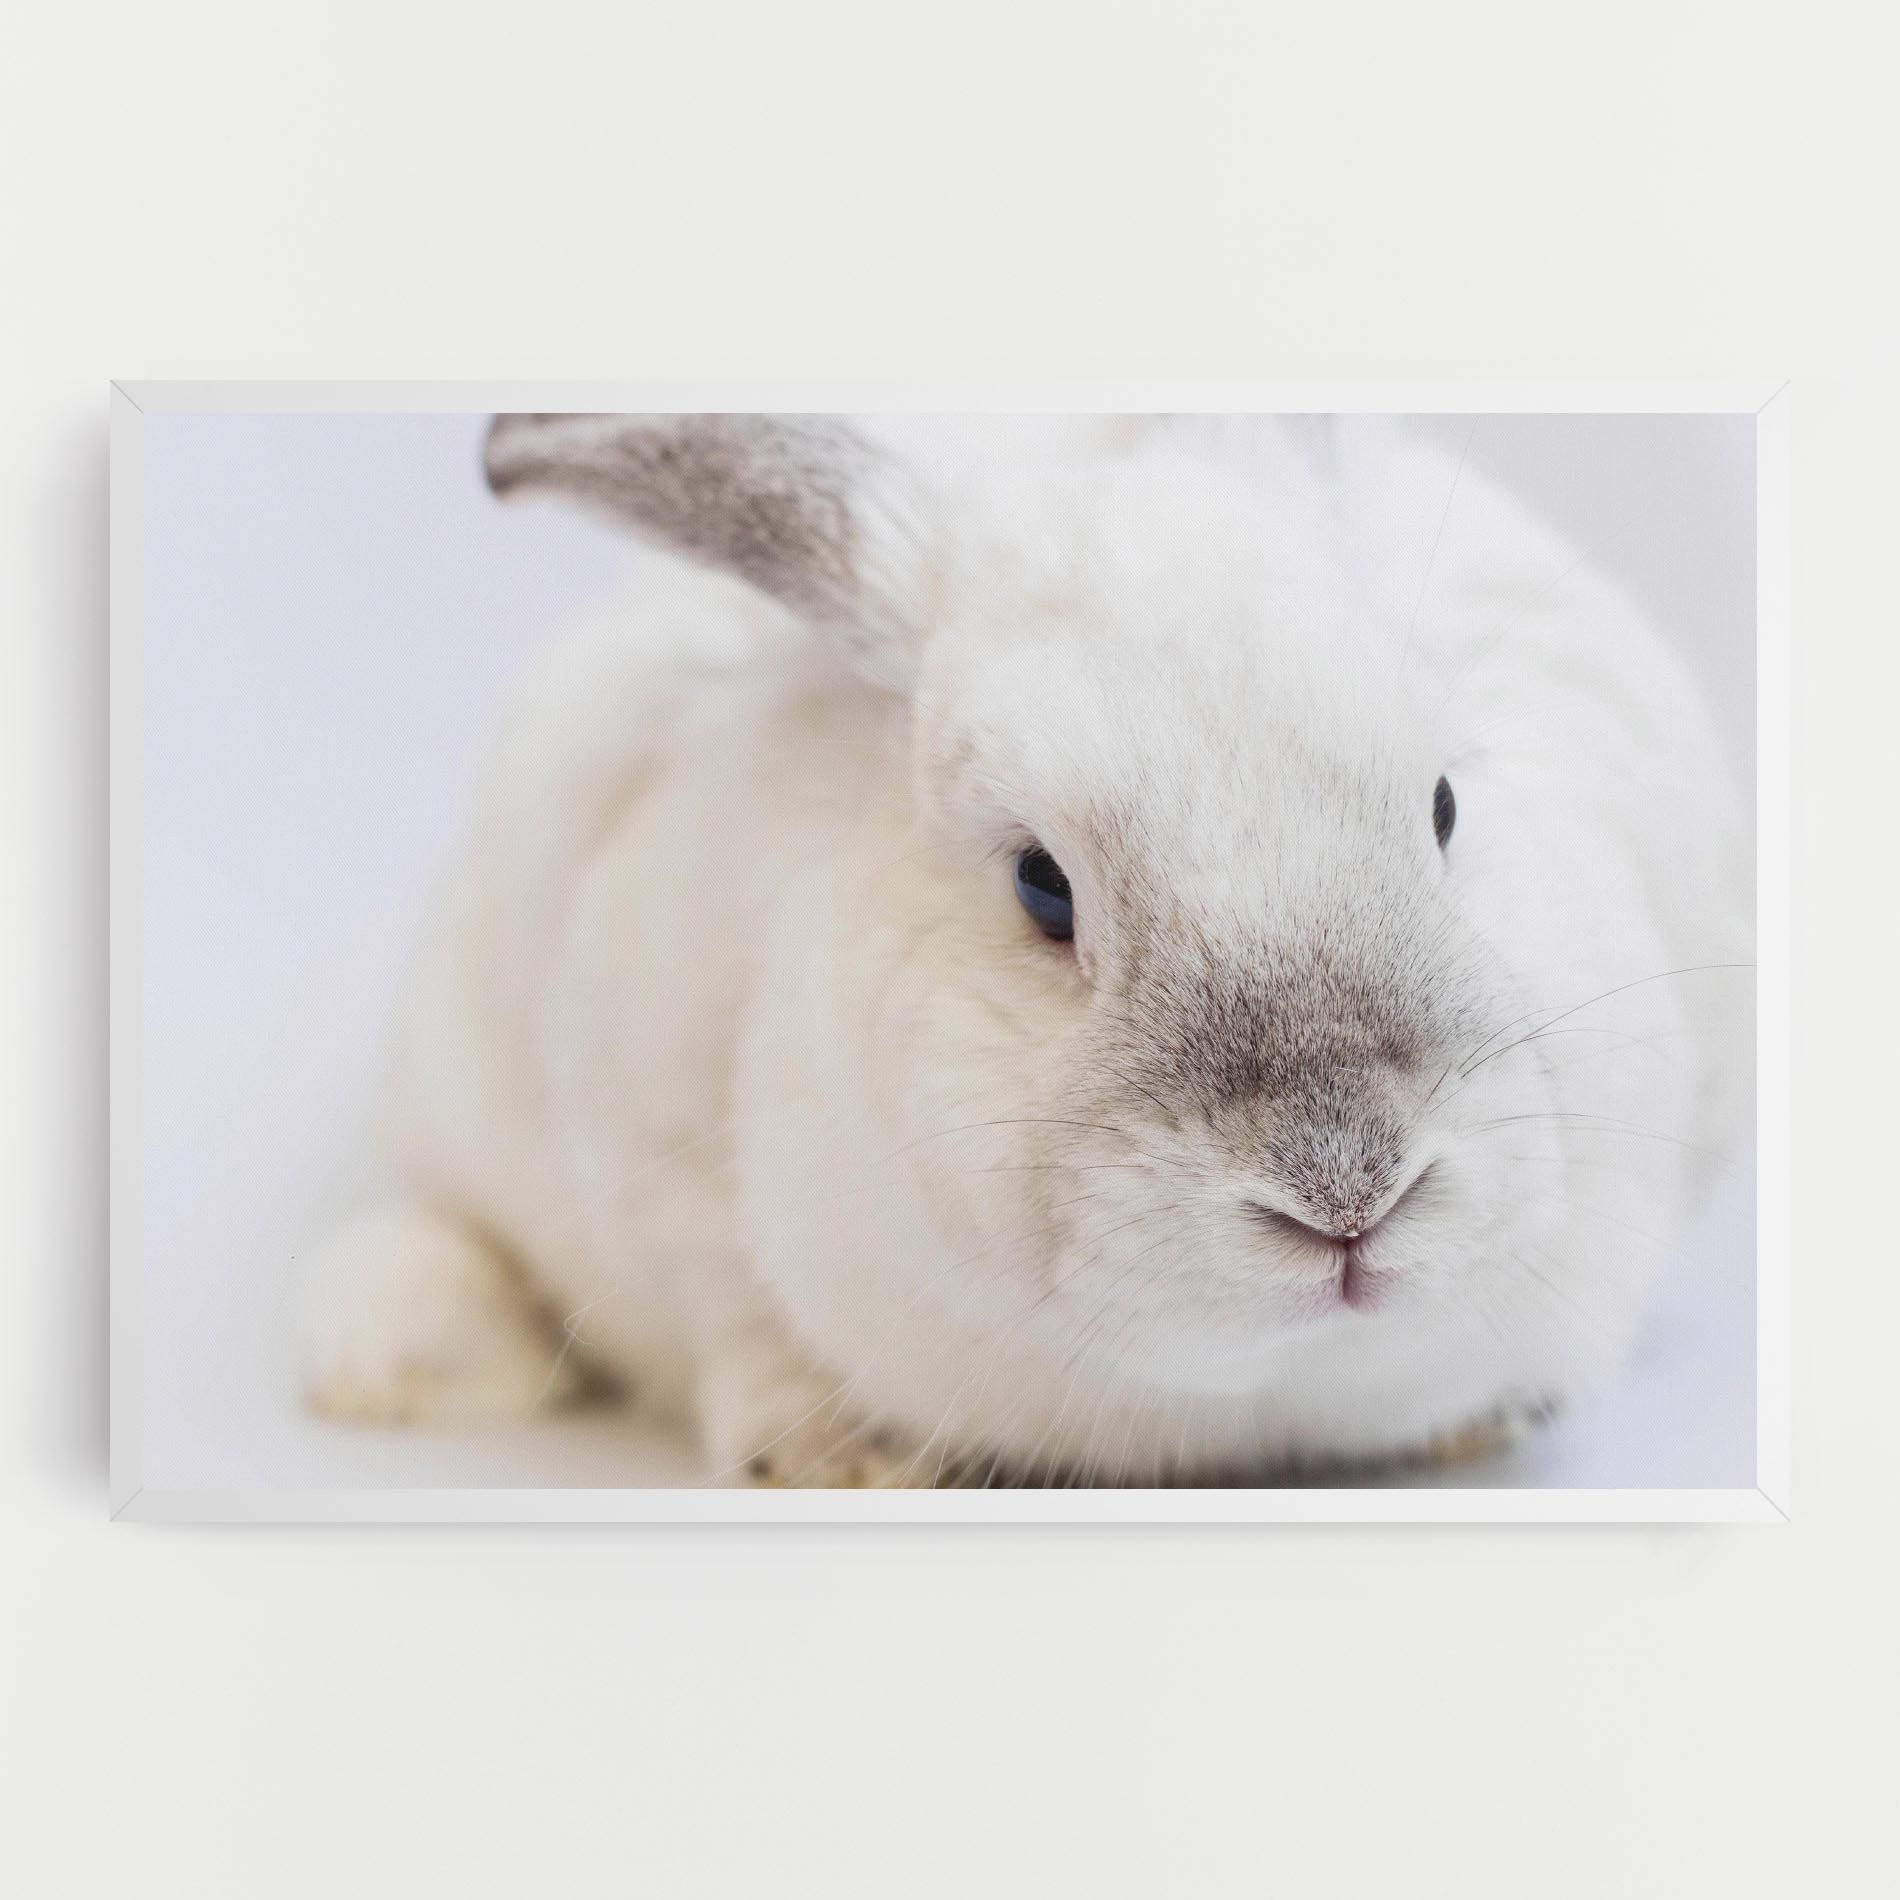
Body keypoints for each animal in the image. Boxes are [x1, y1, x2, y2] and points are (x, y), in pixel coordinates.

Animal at [302, 412, 1752, 1486]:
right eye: (1041, 886)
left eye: (1445, 804)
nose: (1347, 1190)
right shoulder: (655, 1151)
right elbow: (738, 1321)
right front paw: (838, 1457)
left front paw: (1480, 1420)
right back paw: (388, 1369)